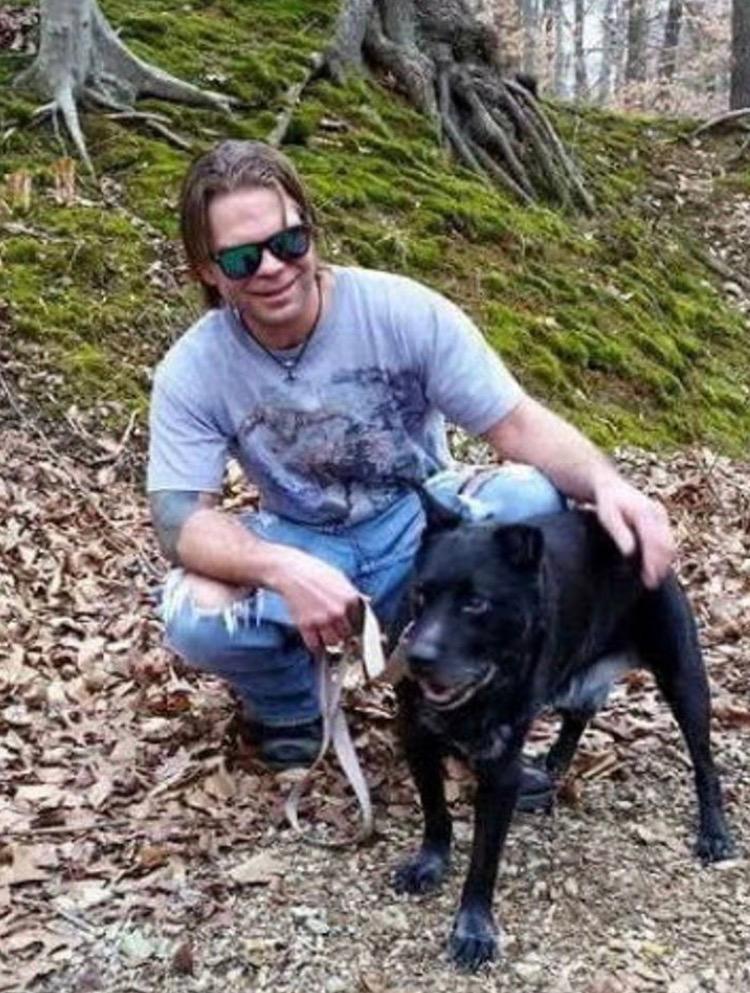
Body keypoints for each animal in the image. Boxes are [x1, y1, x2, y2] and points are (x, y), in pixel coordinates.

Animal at [393, 499, 734, 971]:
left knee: (704, 761)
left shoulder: (500, 773)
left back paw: (714, 831)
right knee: (578, 717)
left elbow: (484, 860)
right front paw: (429, 862)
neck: (480, 691)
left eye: (476, 604)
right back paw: (554, 763)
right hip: (576, 677)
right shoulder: (416, 738)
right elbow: (435, 814)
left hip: (684, 680)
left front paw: (474, 928)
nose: (418, 657)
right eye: (420, 594)